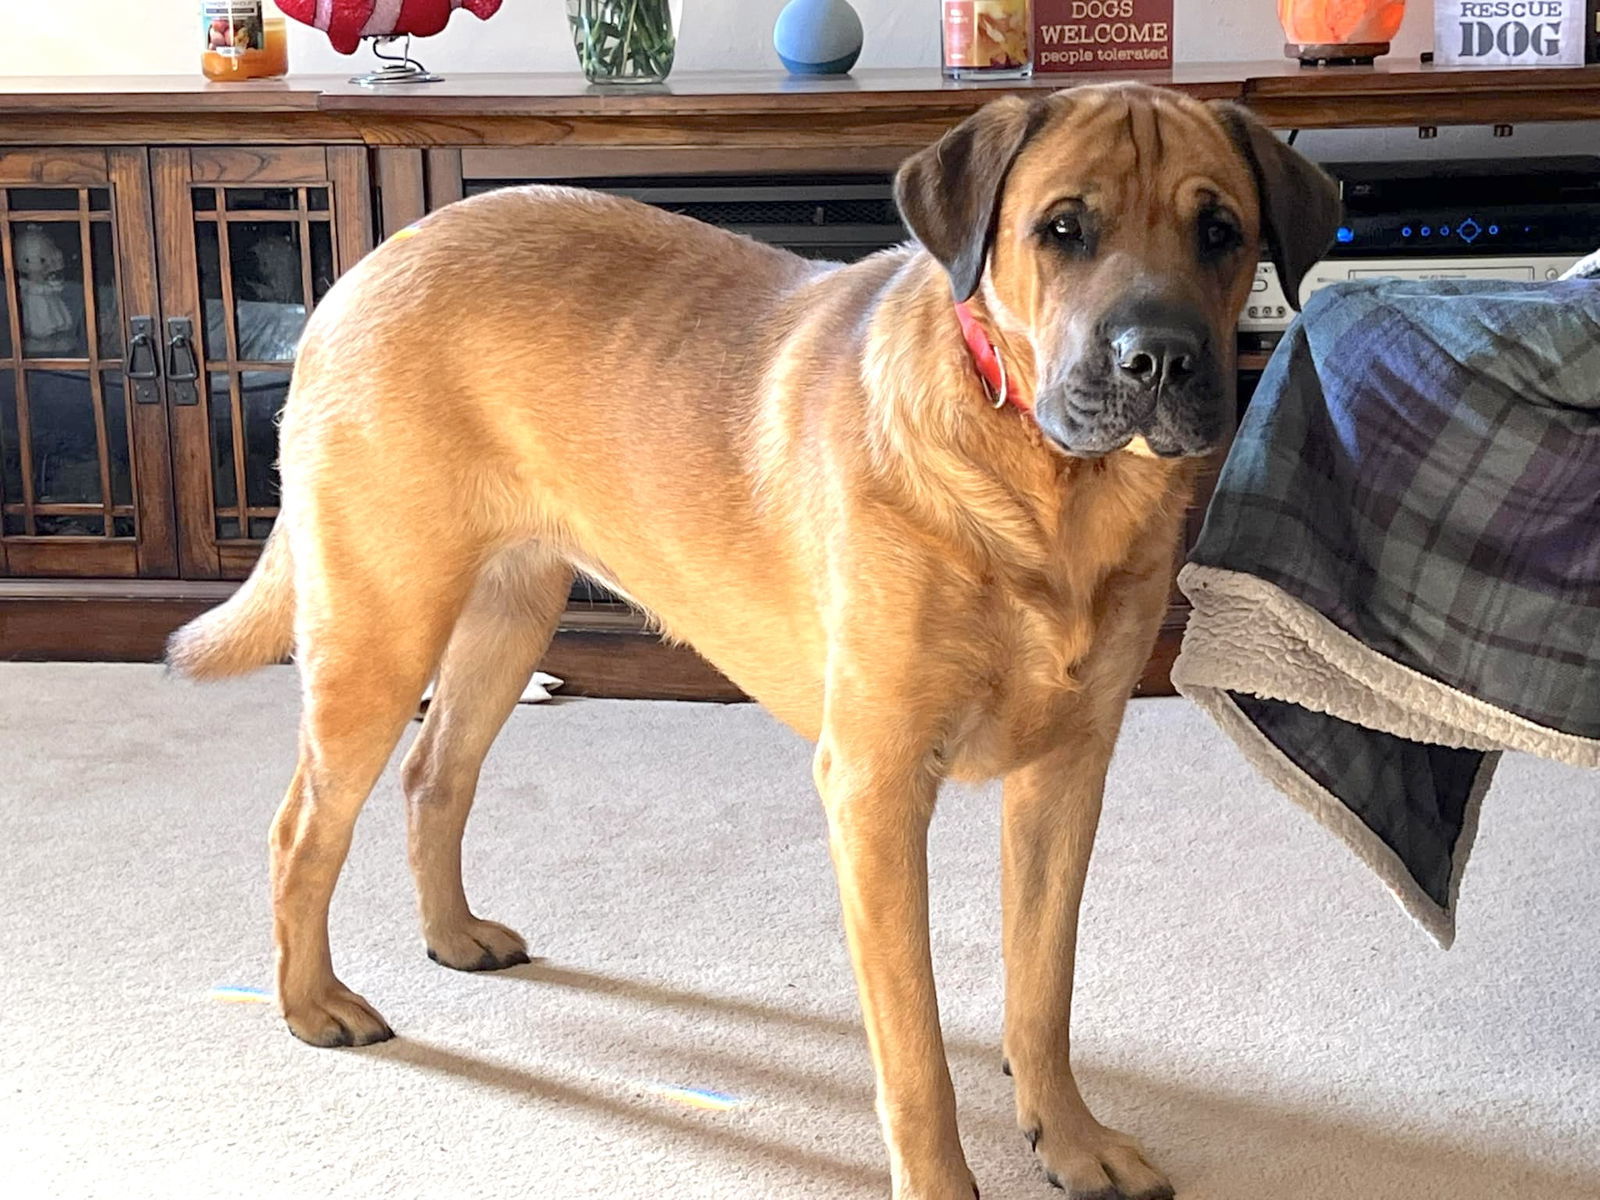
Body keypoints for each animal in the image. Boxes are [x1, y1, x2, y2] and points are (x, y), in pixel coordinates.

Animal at [168, 84, 1337, 1200]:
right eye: (1062, 228)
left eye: (1221, 231)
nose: (1161, 360)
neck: (1047, 484)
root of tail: (363, 270)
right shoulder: (874, 785)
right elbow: (914, 1049)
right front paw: (942, 1178)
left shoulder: (1067, 772)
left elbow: (1043, 987)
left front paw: (1070, 1136)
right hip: (382, 623)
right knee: (303, 827)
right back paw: (311, 1002)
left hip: (509, 615)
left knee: (434, 776)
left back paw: (453, 937)